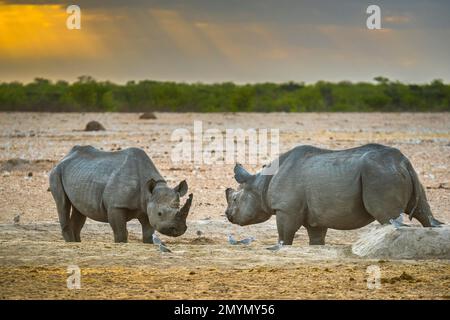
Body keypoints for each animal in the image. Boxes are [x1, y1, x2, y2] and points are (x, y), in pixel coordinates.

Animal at [49, 147, 193, 242]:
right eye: (160, 213)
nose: (178, 229)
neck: (149, 192)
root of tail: (65, 157)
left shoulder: (146, 207)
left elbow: (148, 233)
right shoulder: (116, 206)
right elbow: (121, 233)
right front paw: (121, 242)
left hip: (81, 173)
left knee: (79, 210)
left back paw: (76, 242)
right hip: (56, 172)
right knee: (62, 205)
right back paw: (70, 242)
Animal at [225, 143, 442, 245]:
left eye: (235, 199)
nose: (228, 215)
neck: (260, 185)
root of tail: (403, 161)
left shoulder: (286, 209)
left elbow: (284, 236)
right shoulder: (315, 218)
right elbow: (316, 240)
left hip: (379, 174)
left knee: (388, 218)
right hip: (397, 171)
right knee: (424, 212)